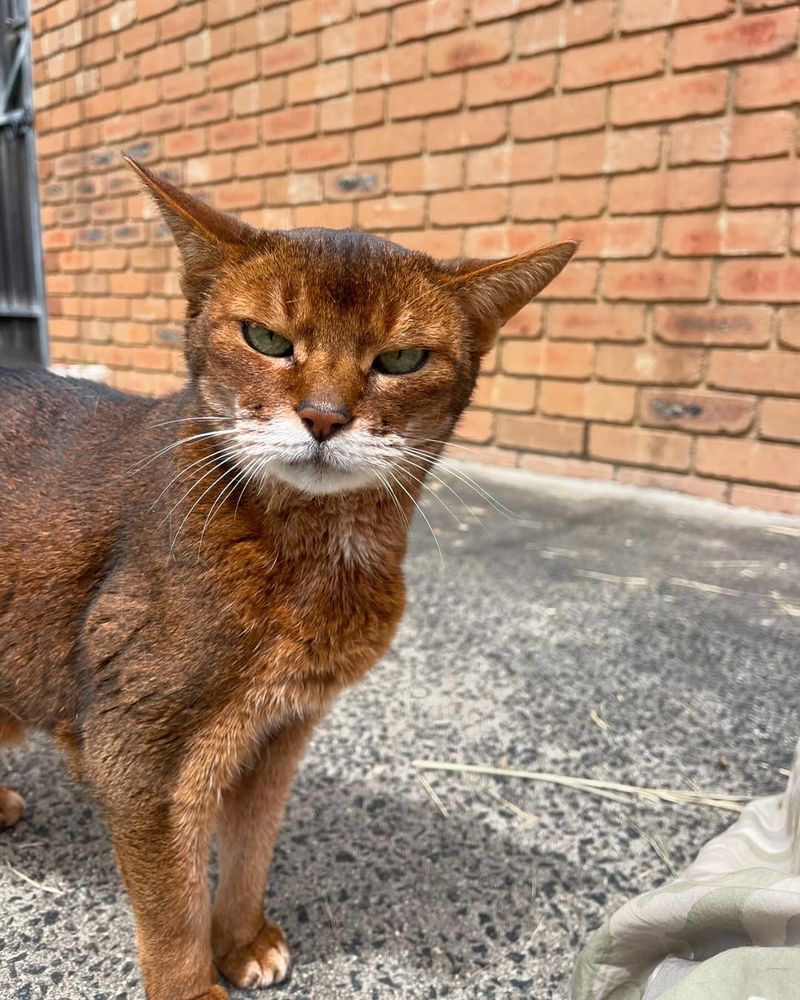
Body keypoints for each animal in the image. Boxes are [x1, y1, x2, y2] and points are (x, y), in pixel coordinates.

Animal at [0, 156, 576, 1000]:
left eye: (401, 359)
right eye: (266, 339)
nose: (325, 417)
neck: (313, 553)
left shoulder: (278, 730)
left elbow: (251, 849)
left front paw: (242, 941)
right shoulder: (137, 747)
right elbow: (171, 905)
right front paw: (193, 987)